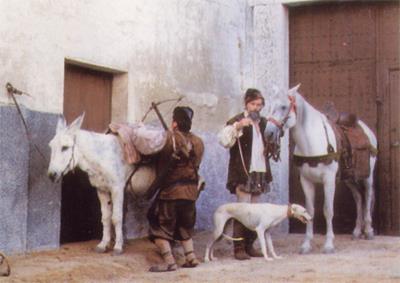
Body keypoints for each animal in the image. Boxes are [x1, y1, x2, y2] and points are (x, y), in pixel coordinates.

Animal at [47, 114, 155, 256]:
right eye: (51, 146)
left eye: (65, 147)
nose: (51, 175)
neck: (102, 157)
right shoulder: (102, 189)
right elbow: (106, 217)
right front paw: (103, 244)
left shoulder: (117, 189)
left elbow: (116, 218)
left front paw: (118, 247)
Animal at [264, 86, 376, 255]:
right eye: (269, 105)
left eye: (283, 107)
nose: (268, 133)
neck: (312, 142)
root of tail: (366, 129)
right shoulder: (306, 181)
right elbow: (310, 210)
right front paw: (306, 245)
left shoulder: (328, 180)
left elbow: (328, 210)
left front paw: (329, 245)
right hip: (349, 179)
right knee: (358, 198)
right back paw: (357, 231)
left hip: (368, 176)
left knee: (368, 197)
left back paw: (368, 230)